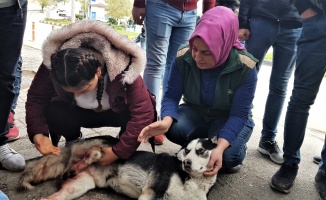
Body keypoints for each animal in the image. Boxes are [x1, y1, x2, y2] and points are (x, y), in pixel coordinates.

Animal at [19, 135, 218, 199]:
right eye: (187, 150)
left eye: (201, 151)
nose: (186, 163)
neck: (191, 180)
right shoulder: (151, 192)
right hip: (105, 146)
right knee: (95, 153)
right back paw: (82, 161)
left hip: (78, 187)